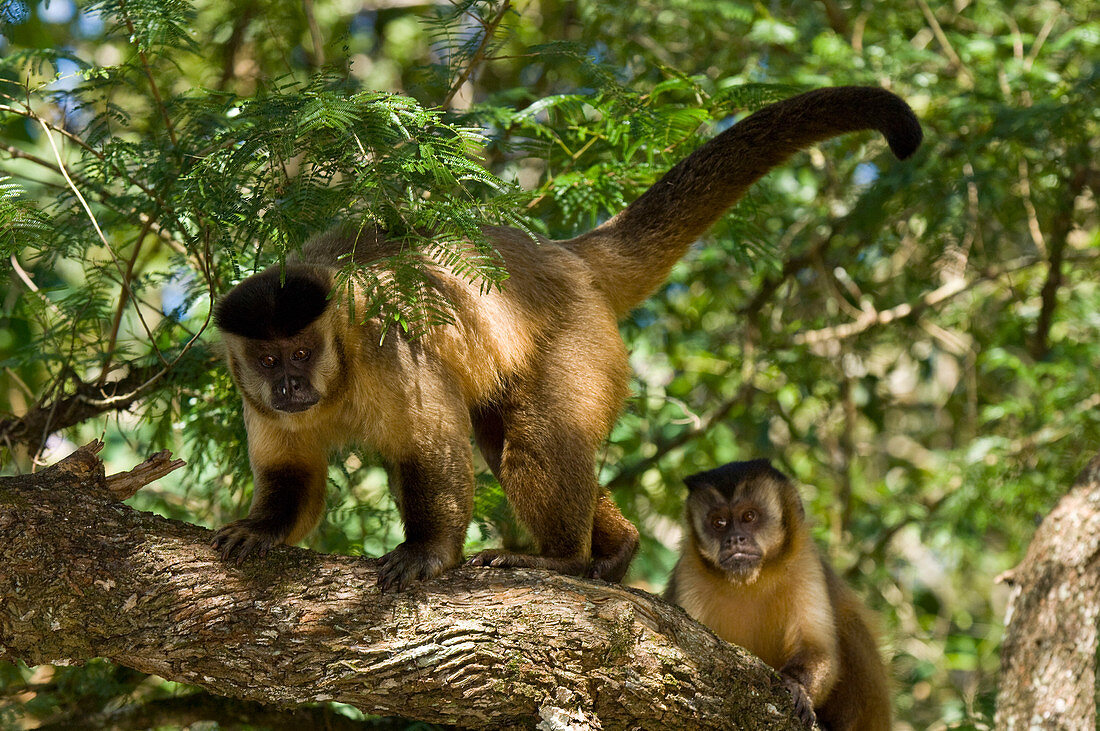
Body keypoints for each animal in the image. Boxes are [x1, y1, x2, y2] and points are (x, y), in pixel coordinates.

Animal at [207, 85, 919, 593]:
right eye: (269, 359)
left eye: (303, 353)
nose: (289, 383)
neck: (339, 375)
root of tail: (559, 255)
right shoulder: (253, 397)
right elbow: (292, 478)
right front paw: (260, 531)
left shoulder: (386, 348)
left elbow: (433, 448)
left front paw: (428, 552)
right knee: (506, 438)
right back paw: (617, 548)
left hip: (579, 336)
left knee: (535, 438)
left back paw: (564, 564)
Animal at [660, 459, 893, 725]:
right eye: (719, 523)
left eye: (749, 516)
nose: (734, 539)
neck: (750, 581)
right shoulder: (689, 572)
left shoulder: (805, 561)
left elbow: (819, 650)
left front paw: (796, 686)